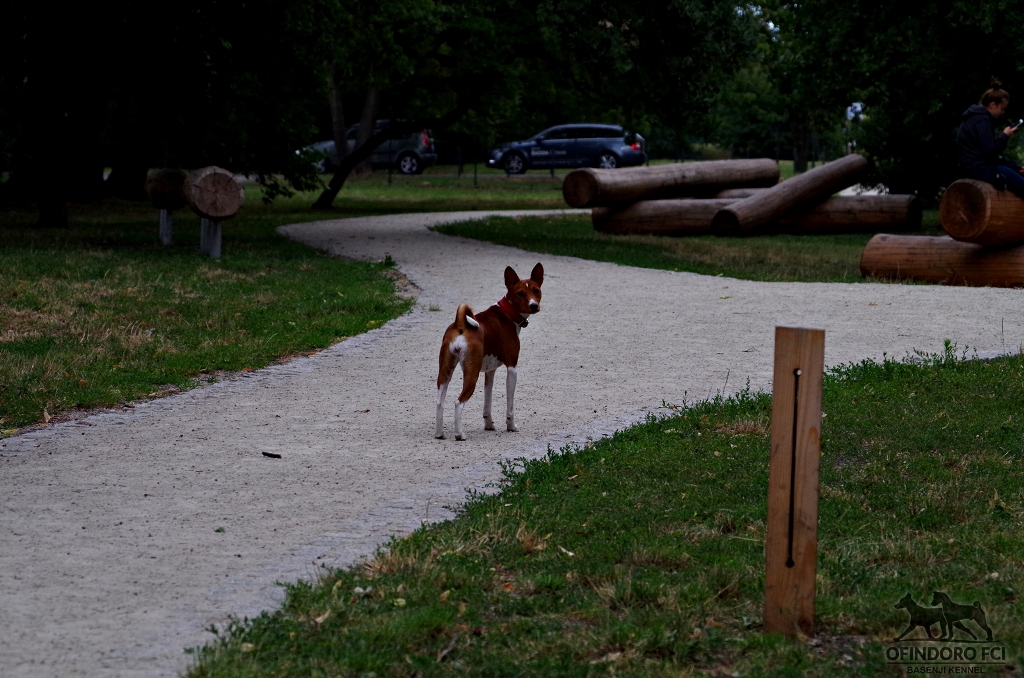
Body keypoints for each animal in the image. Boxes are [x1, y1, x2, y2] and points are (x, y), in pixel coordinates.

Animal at [435, 263, 543, 440]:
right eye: (520, 293)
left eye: (536, 290)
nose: (534, 305)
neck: (507, 313)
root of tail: (461, 325)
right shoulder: (512, 369)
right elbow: (510, 406)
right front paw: (511, 426)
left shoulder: (489, 371)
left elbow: (487, 401)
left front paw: (488, 424)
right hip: (471, 374)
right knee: (458, 402)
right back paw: (459, 434)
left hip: (445, 372)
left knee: (439, 402)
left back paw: (439, 433)